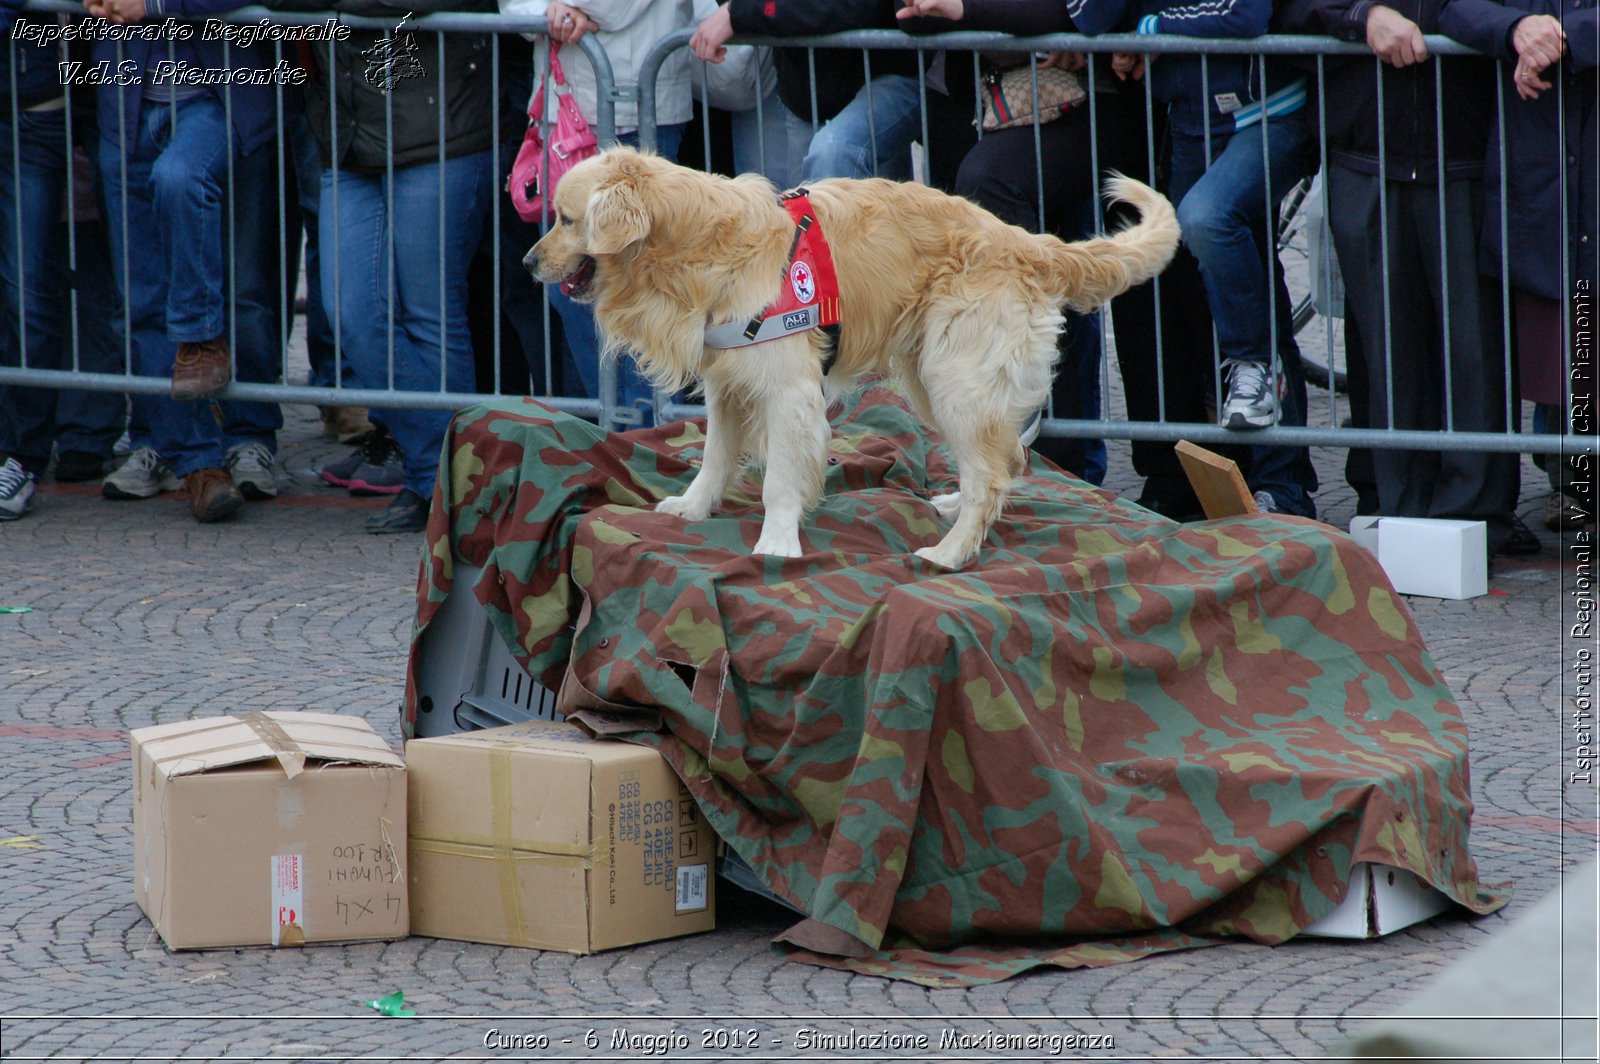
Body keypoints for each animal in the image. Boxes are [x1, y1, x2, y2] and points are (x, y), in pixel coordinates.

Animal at [524, 147, 1177, 572]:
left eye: (565, 218)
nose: (529, 263)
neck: (700, 245)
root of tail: (1028, 243)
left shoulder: (788, 390)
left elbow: (780, 480)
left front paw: (777, 543)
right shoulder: (728, 382)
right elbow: (715, 457)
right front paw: (693, 506)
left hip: (956, 379)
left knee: (993, 472)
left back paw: (951, 553)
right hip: (932, 381)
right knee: (1006, 458)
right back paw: (953, 507)